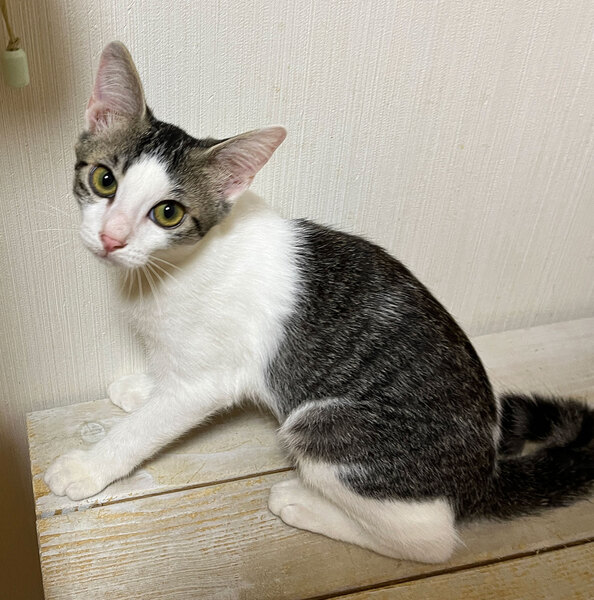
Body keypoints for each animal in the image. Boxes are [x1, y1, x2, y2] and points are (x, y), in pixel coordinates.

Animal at [44, 41, 594, 564]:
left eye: (168, 213)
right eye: (104, 180)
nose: (112, 238)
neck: (170, 269)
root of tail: (482, 475)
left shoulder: (209, 379)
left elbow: (149, 424)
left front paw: (89, 465)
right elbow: (164, 372)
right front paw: (142, 386)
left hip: (324, 424)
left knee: (429, 541)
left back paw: (303, 504)